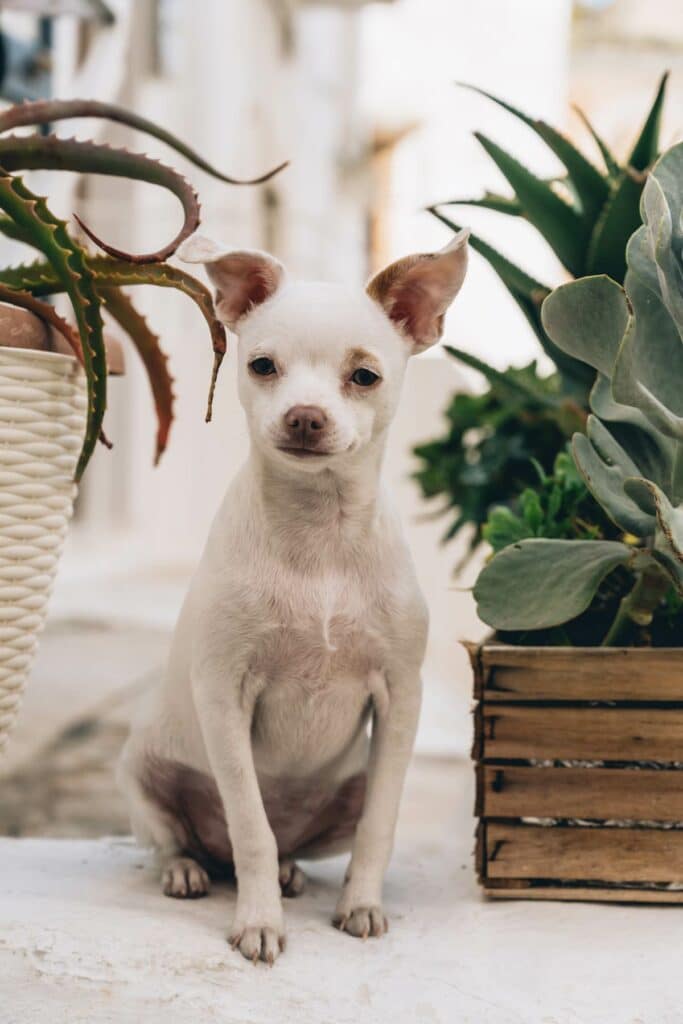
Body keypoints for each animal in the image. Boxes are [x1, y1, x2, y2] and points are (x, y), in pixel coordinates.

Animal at [117, 228, 471, 962]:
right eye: (262, 366)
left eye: (364, 376)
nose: (305, 417)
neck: (320, 539)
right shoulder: (224, 694)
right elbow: (251, 824)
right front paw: (259, 922)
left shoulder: (400, 700)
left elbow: (380, 825)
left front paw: (361, 904)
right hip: (141, 772)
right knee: (183, 839)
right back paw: (188, 870)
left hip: (348, 785)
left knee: (295, 842)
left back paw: (288, 872)